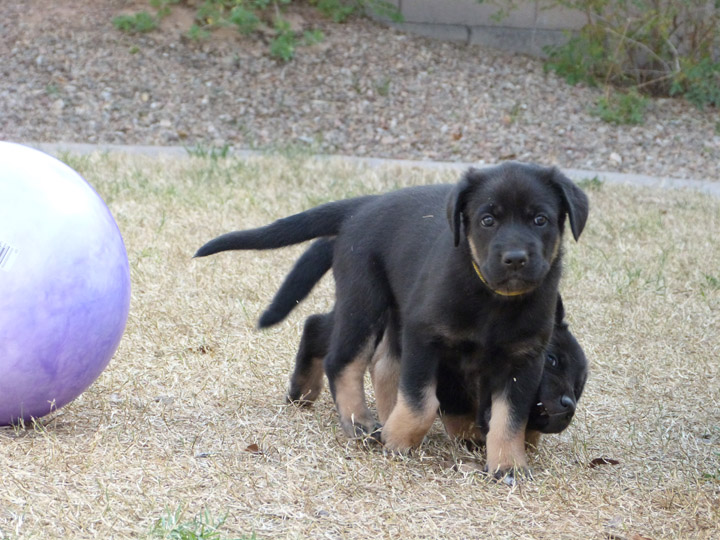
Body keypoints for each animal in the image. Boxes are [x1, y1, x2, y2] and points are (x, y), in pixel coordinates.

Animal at [194, 162, 588, 478]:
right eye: (487, 220)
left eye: (540, 219)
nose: (516, 258)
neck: (493, 300)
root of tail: (363, 204)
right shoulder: (425, 337)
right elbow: (422, 401)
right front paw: (398, 440)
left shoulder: (523, 358)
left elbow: (510, 418)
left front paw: (508, 465)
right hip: (365, 299)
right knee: (343, 359)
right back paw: (360, 422)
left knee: (374, 359)